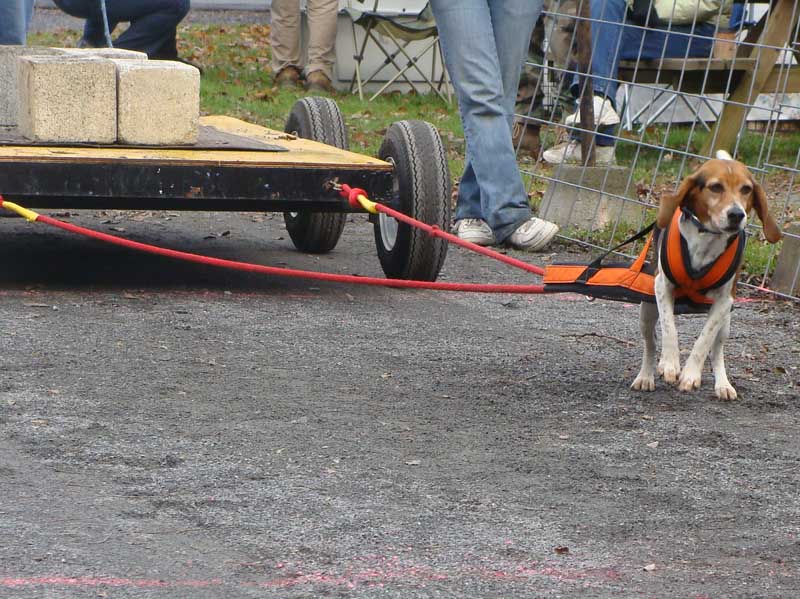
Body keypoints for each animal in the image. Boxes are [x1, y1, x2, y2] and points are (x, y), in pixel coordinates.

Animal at [632, 152, 780, 400]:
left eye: (746, 189)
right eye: (716, 187)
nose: (737, 214)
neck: (707, 239)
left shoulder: (724, 301)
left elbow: (704, 340)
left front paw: (691, 374)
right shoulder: (662, 287)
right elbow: (669, 327)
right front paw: (670, 363)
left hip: (726, 323)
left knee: (716, 351)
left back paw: (723, 384)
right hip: (646, 311)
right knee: (650, 344)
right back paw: (646, 376)